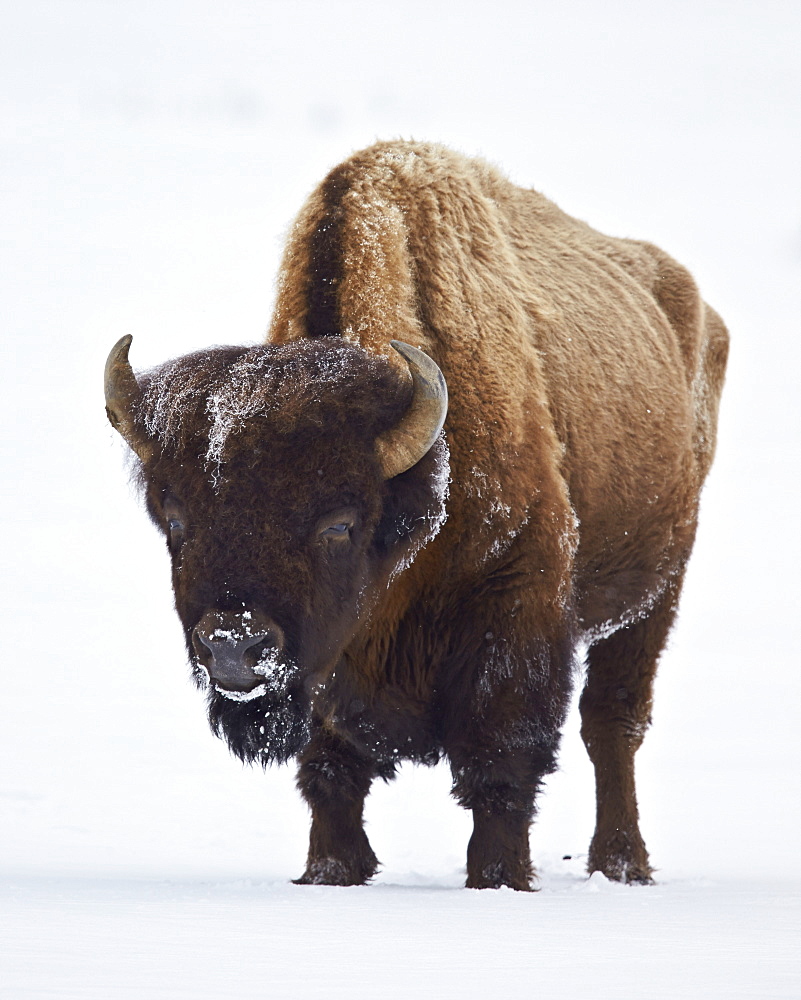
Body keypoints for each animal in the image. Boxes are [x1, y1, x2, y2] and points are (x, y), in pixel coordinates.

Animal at [104, 141, 724, 892]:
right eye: (176, 520)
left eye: (338, 524)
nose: (233, 644)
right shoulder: (327, 665)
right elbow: (332, 770)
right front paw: (331, 870)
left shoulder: (513, 615)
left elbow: (499, 766)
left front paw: (498, 877)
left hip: (653, 594)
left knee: (611, 724)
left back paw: (621, 865)